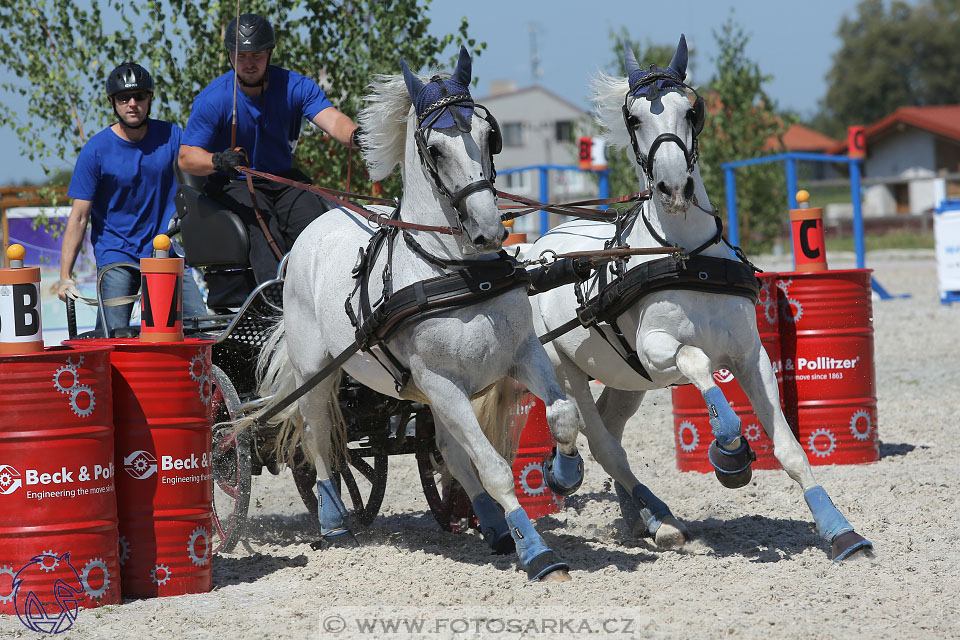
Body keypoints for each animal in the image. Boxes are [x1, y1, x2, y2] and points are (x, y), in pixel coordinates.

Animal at [244, 47, 580, 584]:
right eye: (435, 150)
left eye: (490, 134)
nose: (489, 229)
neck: (460, 272)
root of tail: (308, 236)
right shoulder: (441, 382)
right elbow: (494, 468)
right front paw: (540, 555)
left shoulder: (520, 355)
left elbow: (563, 415)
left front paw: (563, 474)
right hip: (318, 372)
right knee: (317, 438)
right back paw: (334, 523)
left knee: (446, 451)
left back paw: (493, 528)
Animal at [528, 37, 872, 564]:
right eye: (633, 119)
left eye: (692, 110)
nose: (674, 188)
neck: (687, 257)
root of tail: (537, 247)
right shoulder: (657, 348)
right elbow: (699, 365)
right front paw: (730, 454)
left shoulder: (751, 356)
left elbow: (790, 449)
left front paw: (840, 532)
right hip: (564, 368)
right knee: (600, 443)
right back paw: (635, 505)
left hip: (627, 379)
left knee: (610, 428)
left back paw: (646, 518)